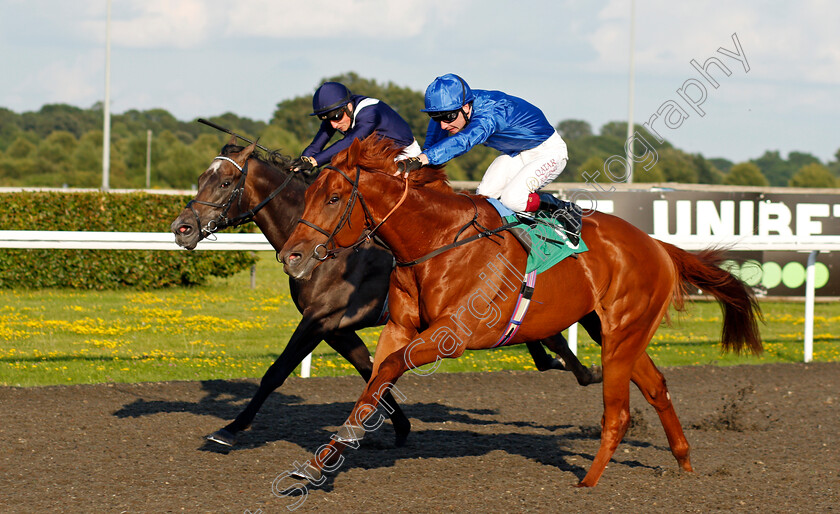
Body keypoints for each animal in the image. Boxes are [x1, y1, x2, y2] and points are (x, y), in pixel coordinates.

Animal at [171, 137, 600, 448]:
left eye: (226, 182)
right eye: (200, 179)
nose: (182, 228)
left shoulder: (319, 320)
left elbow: (276, 372)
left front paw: (229, 429)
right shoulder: (338, 329)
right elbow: (370, 370)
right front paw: (397, 426)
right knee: (549, 342)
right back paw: (575, 368)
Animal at [278, 135, 764, 484]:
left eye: (334, 198)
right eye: (308, 194)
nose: (290, 256)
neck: (436, 241)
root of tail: (658, 245)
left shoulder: (451, 336)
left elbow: (390, 369)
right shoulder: (400, 326)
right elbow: (375, 381)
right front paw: (323, 459)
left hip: (622, 333)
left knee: (619, 411)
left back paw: (588, 481)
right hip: (615, 331)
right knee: (657, 387)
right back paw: (684, 463)